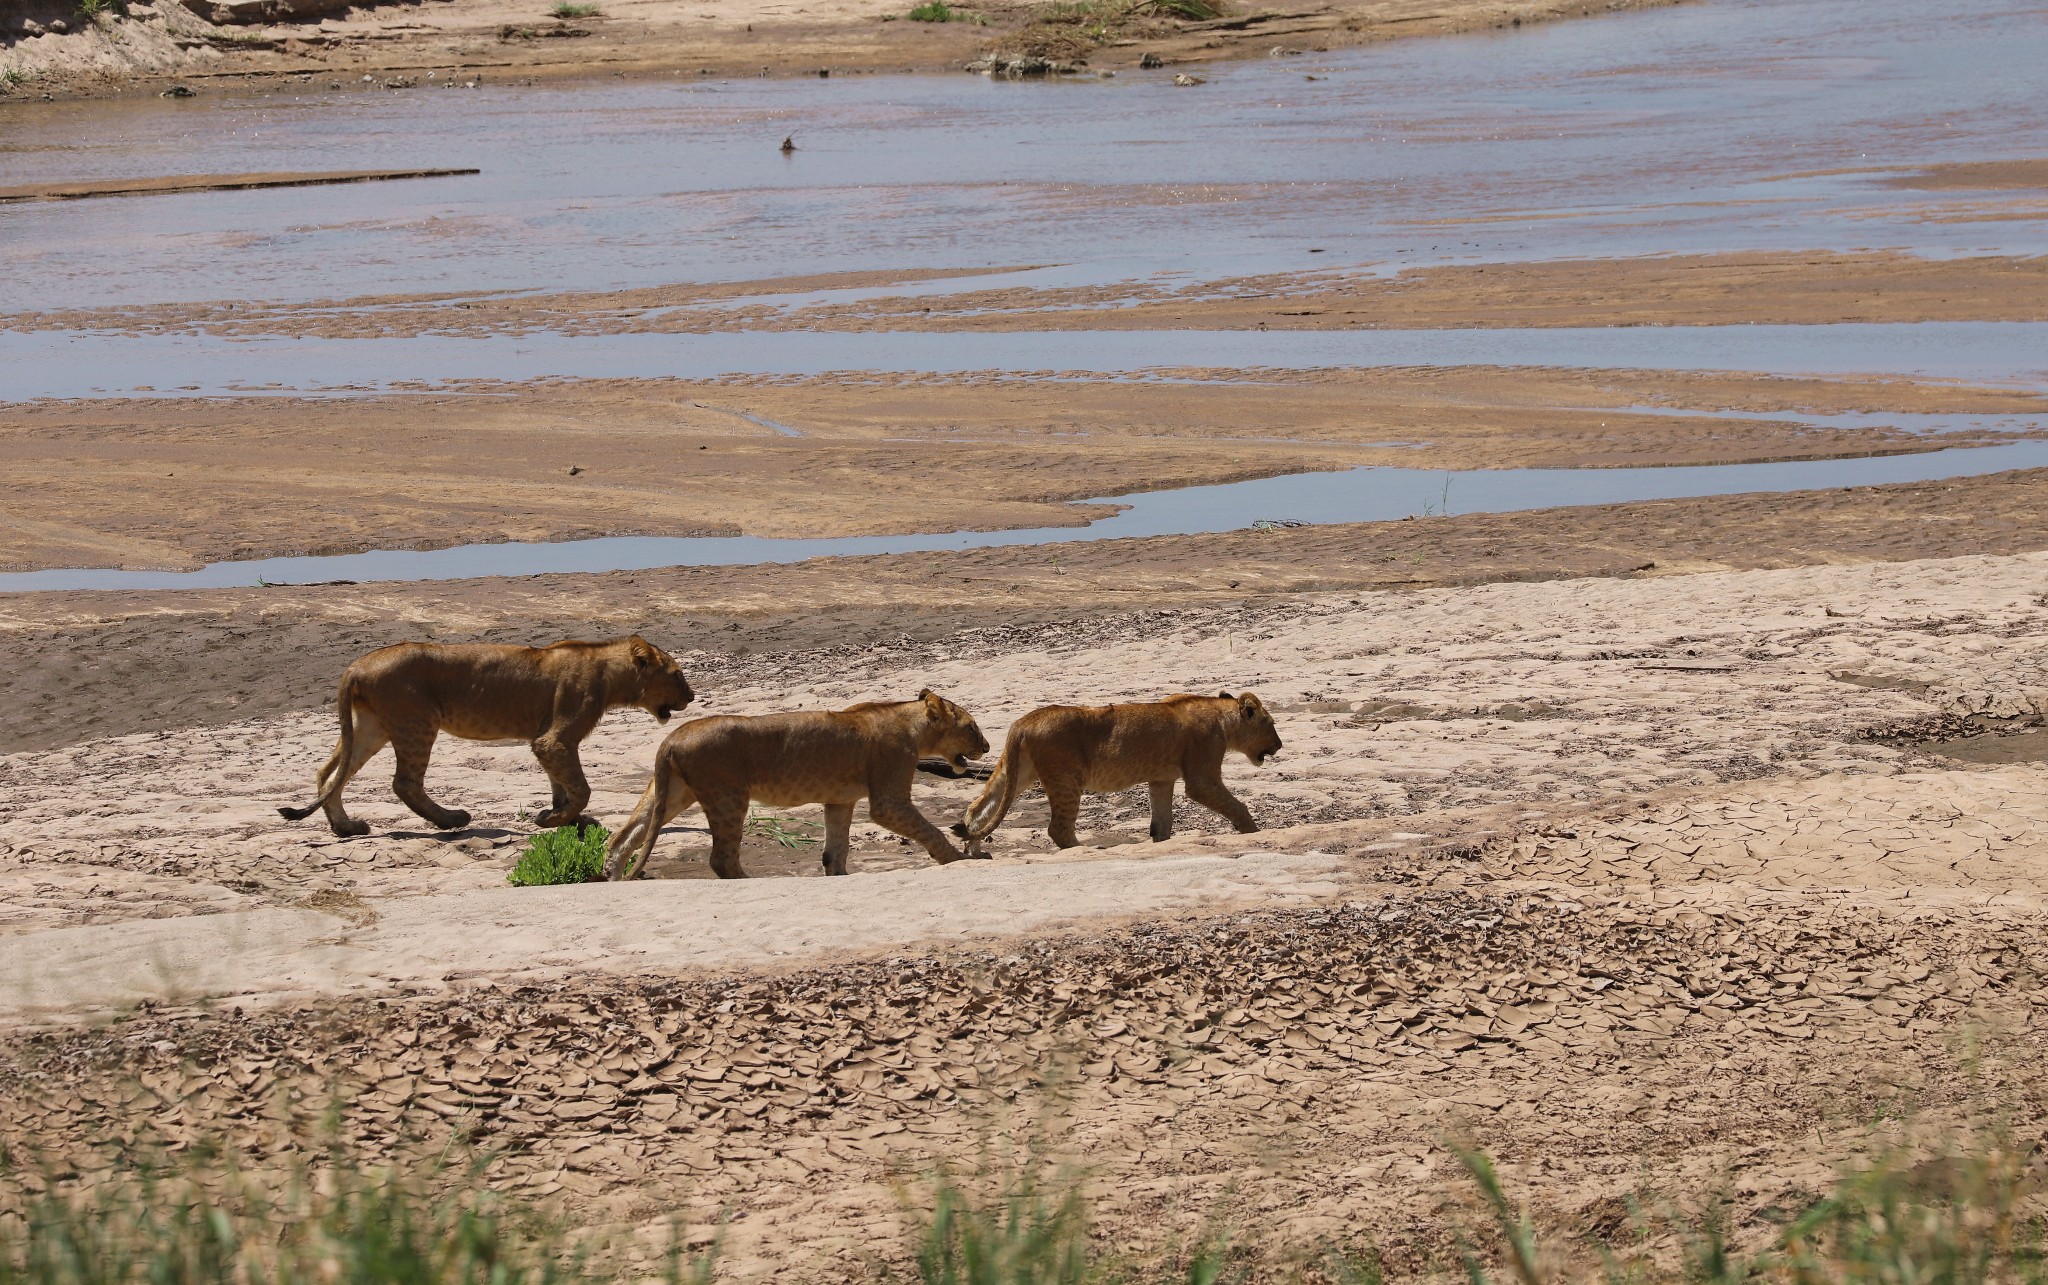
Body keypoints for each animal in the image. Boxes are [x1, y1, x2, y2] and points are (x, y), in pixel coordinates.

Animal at [276, 639, 692, 840]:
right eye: (677, 673)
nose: (691, 697)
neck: (609, 672)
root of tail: (355, 665)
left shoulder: (547, 742)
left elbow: (563, 786)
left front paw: (567, 819)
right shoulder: (554, 739)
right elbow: (581, 787)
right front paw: (554, 820)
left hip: (371, 728)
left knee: (329, 775)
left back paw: (346, 828)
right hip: (418, 720)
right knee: (404, 782)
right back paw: (451, 819)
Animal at [602, 692, 987, 885]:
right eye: (971, 726)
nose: (985, 746)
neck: (912, 726)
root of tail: (672, 736)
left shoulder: (839, 801)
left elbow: (837, 848)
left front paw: (838, 875)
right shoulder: (888, 800)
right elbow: (929, 829)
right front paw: (959, 858)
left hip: (670, 793)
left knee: (622, 837)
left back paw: (613, 879)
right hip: (729, 796)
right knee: (721, 858)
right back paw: (749, 880)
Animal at [954, 692, 1277, 856]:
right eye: (1270, 723)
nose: (1280, 745)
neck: (1222, 716)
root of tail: (1022, 722)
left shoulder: (1161, 779)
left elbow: (1162, 823)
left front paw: (1161, 842)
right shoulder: (1201, 777)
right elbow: (1237, 806)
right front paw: (1253, 832)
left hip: (1015, 773)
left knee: (978, 808)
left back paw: (974, 850)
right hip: (1067, 779)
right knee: (1058, 828)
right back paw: (1087, 849)